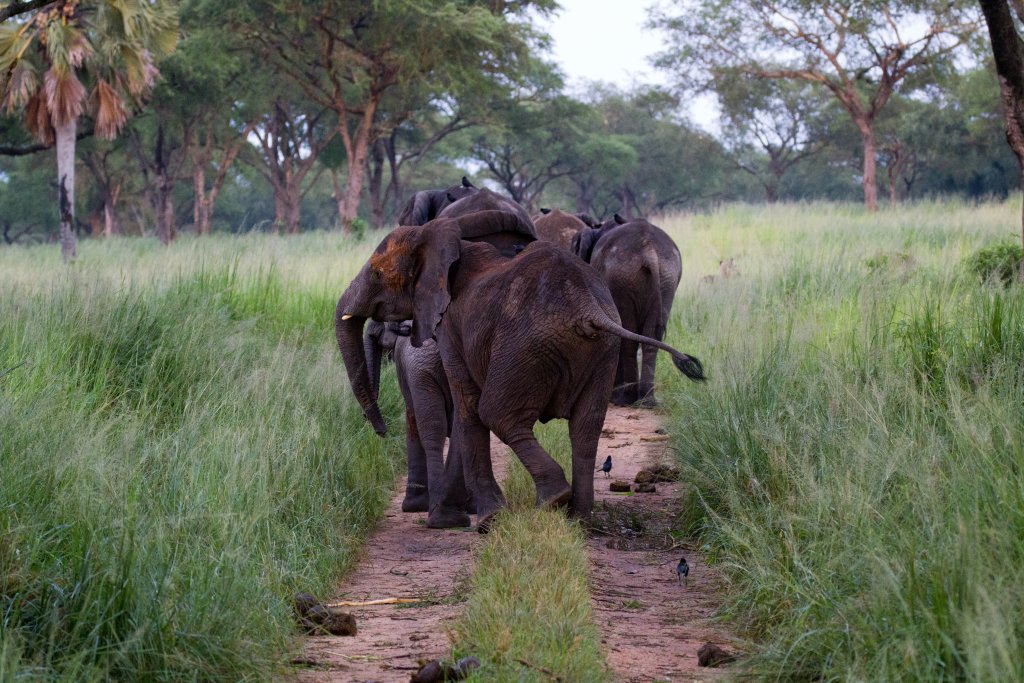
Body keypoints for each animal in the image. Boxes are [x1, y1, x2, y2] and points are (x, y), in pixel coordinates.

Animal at [571, 217, 683, 407]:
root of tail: (649, 249)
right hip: (666, 280)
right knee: (650, 337)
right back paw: (646, 400)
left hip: (622, 279)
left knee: (629, 337)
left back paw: (627, 399)